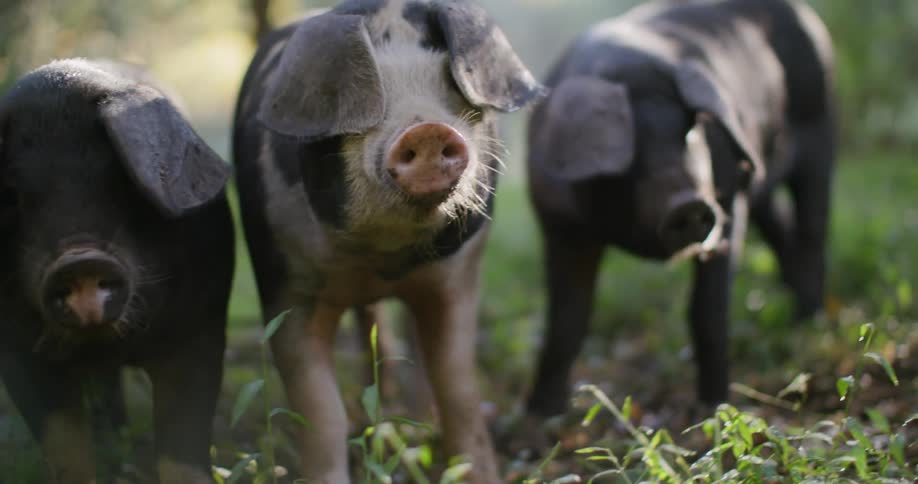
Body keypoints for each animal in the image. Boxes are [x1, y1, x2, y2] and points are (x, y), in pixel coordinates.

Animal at [0, 59, 234, 483]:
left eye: (119, 183)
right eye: (12, 196)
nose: (80, 260)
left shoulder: (202, 327)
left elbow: (183, 441)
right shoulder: (18, 351)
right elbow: (64, 444)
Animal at [232, 0, 545, 481]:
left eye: (448, 83)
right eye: (369, 95)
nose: (427, 130)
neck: (382, 260)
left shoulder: (459, 276)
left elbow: (457, 386)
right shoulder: (284, 285)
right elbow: (318, 410)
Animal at [525, 0, 836, 418]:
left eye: (689, 131)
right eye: (632, 150)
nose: (688, 204)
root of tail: (806, 14)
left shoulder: (727, 200)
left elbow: (707, 310)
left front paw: (714, 410)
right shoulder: (560, 226)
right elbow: (566, 320)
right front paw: (540, 415)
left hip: (820, 124)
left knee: (813, 230)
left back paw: (811, 322)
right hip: (765, 178)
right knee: (784, 233)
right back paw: (799, 318)